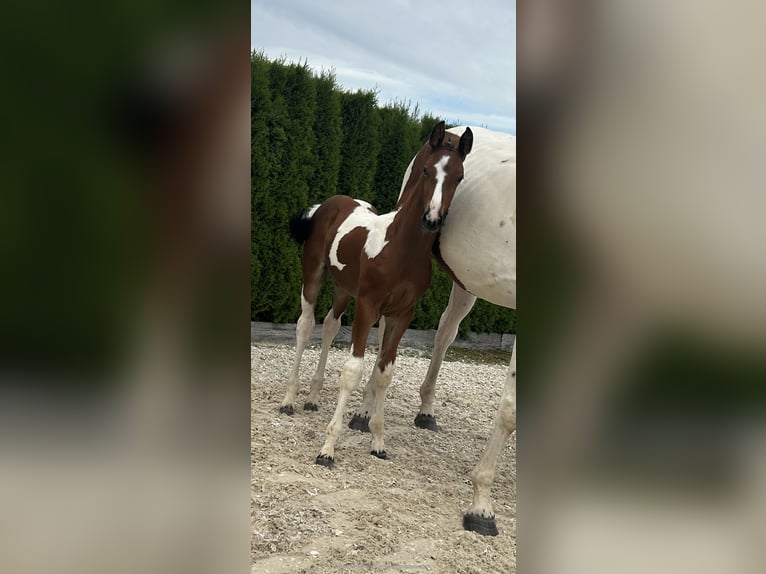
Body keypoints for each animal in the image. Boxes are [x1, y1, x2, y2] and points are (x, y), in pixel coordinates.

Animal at [282, 121, 474, 468]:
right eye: (426, 170)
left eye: (459, 176)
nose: (432, 220)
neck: (401, 248)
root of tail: (329, 204)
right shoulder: (368, 307)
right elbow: (353, 371)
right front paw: (328, 449)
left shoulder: (401, 315)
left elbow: (384, 373)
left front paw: (378, 442)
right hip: (313, 276)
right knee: (305, 326)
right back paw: (289, 400)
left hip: (344, 289)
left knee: (329, 325)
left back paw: (313, 398)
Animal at [348, 127, 516, 540]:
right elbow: (509, 410)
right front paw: (481, 505)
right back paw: (364, 411)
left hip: (466, 285)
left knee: (444, 334)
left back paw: (425, 410)